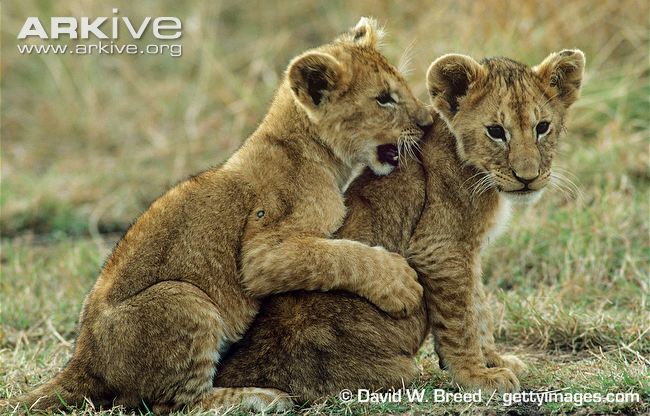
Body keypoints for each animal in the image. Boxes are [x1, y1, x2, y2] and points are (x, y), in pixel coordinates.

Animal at [5, 17, 433, 414]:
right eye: (384, 99)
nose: (428, 122)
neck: (314, 151)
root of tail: (83, 357)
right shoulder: (263, 251)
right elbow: (337, 255)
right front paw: (399, 285)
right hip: (182, 297)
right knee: (177, 403)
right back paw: (261, 397)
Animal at [214, 50, 585, 401]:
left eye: (542, 127)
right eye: (496, 131)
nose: (528, 178)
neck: (477, 172)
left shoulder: (469, 250)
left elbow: (479, 306)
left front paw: (495, 360)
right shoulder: (440, 249)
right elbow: (461, 319)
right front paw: (475, 376)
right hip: (394, 368)